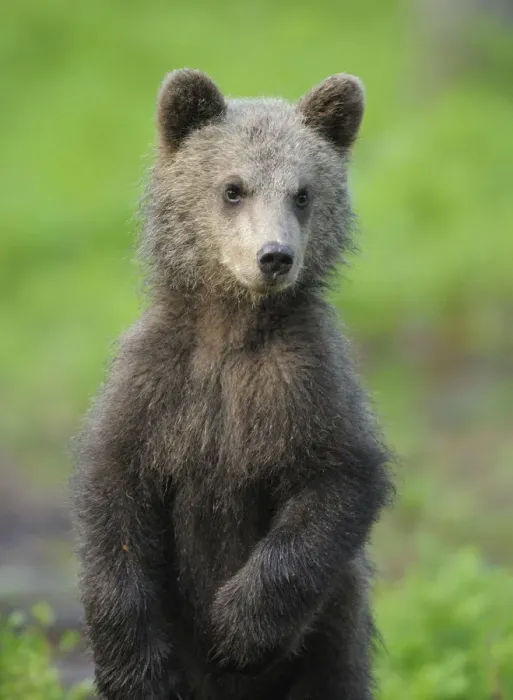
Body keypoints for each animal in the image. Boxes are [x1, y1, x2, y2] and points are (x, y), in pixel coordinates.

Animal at [72, 69, 393, 700]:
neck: (232, 326)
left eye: (302, 192)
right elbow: (116, 502)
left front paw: (237, 631)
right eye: (233, 188)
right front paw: (133, 668)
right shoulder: (156, 387)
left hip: (333, 628)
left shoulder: (304, 383)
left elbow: (337, 484)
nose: (275, 257)